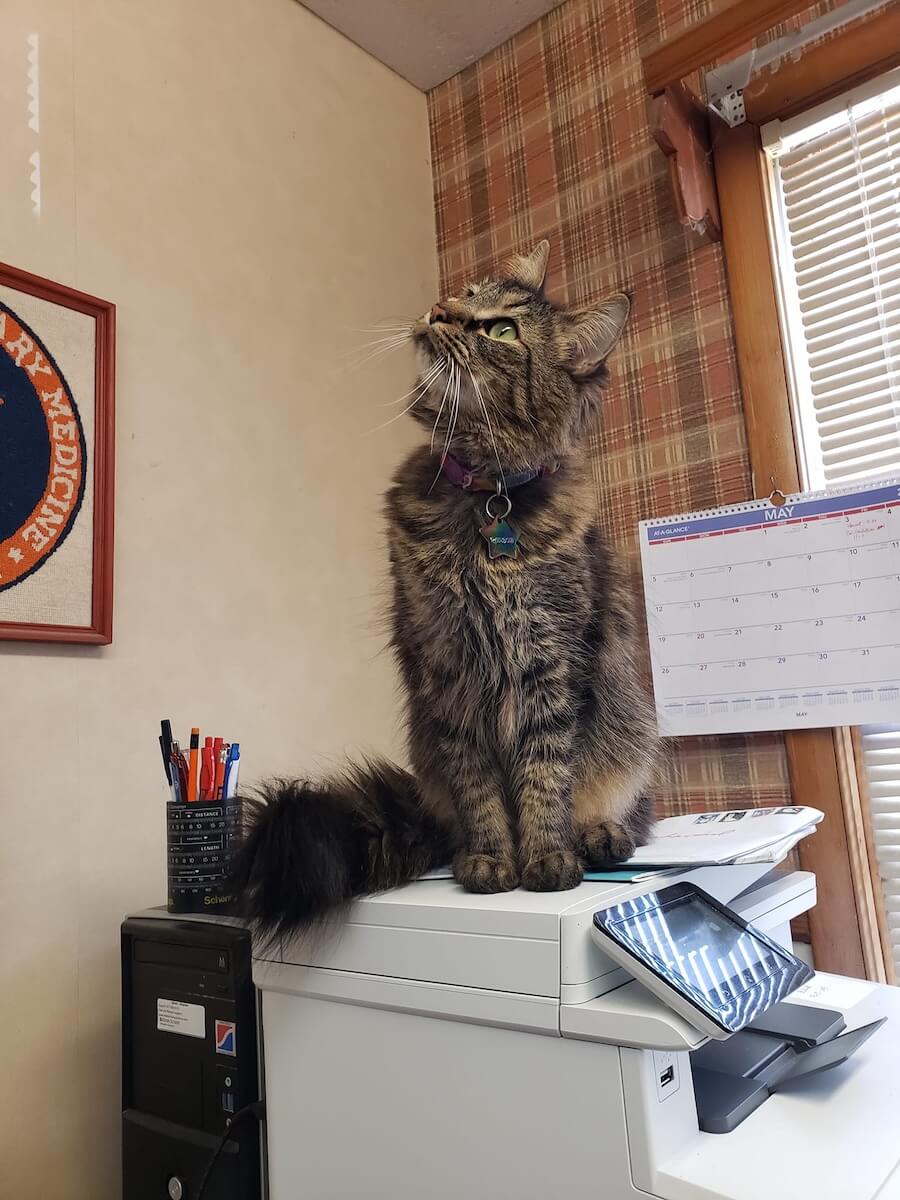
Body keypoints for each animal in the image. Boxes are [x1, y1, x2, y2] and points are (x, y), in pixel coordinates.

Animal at [230, 240, 657, 941]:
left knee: (629, 809)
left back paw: (599, 837)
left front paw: (546, 859)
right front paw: (490, 861)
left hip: (630, 737)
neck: (487, 496)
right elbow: (478, 786)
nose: (438, 308)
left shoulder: (550, 659)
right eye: (465, 292)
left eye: (502, 330)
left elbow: (545, 773)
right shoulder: (446, 664)